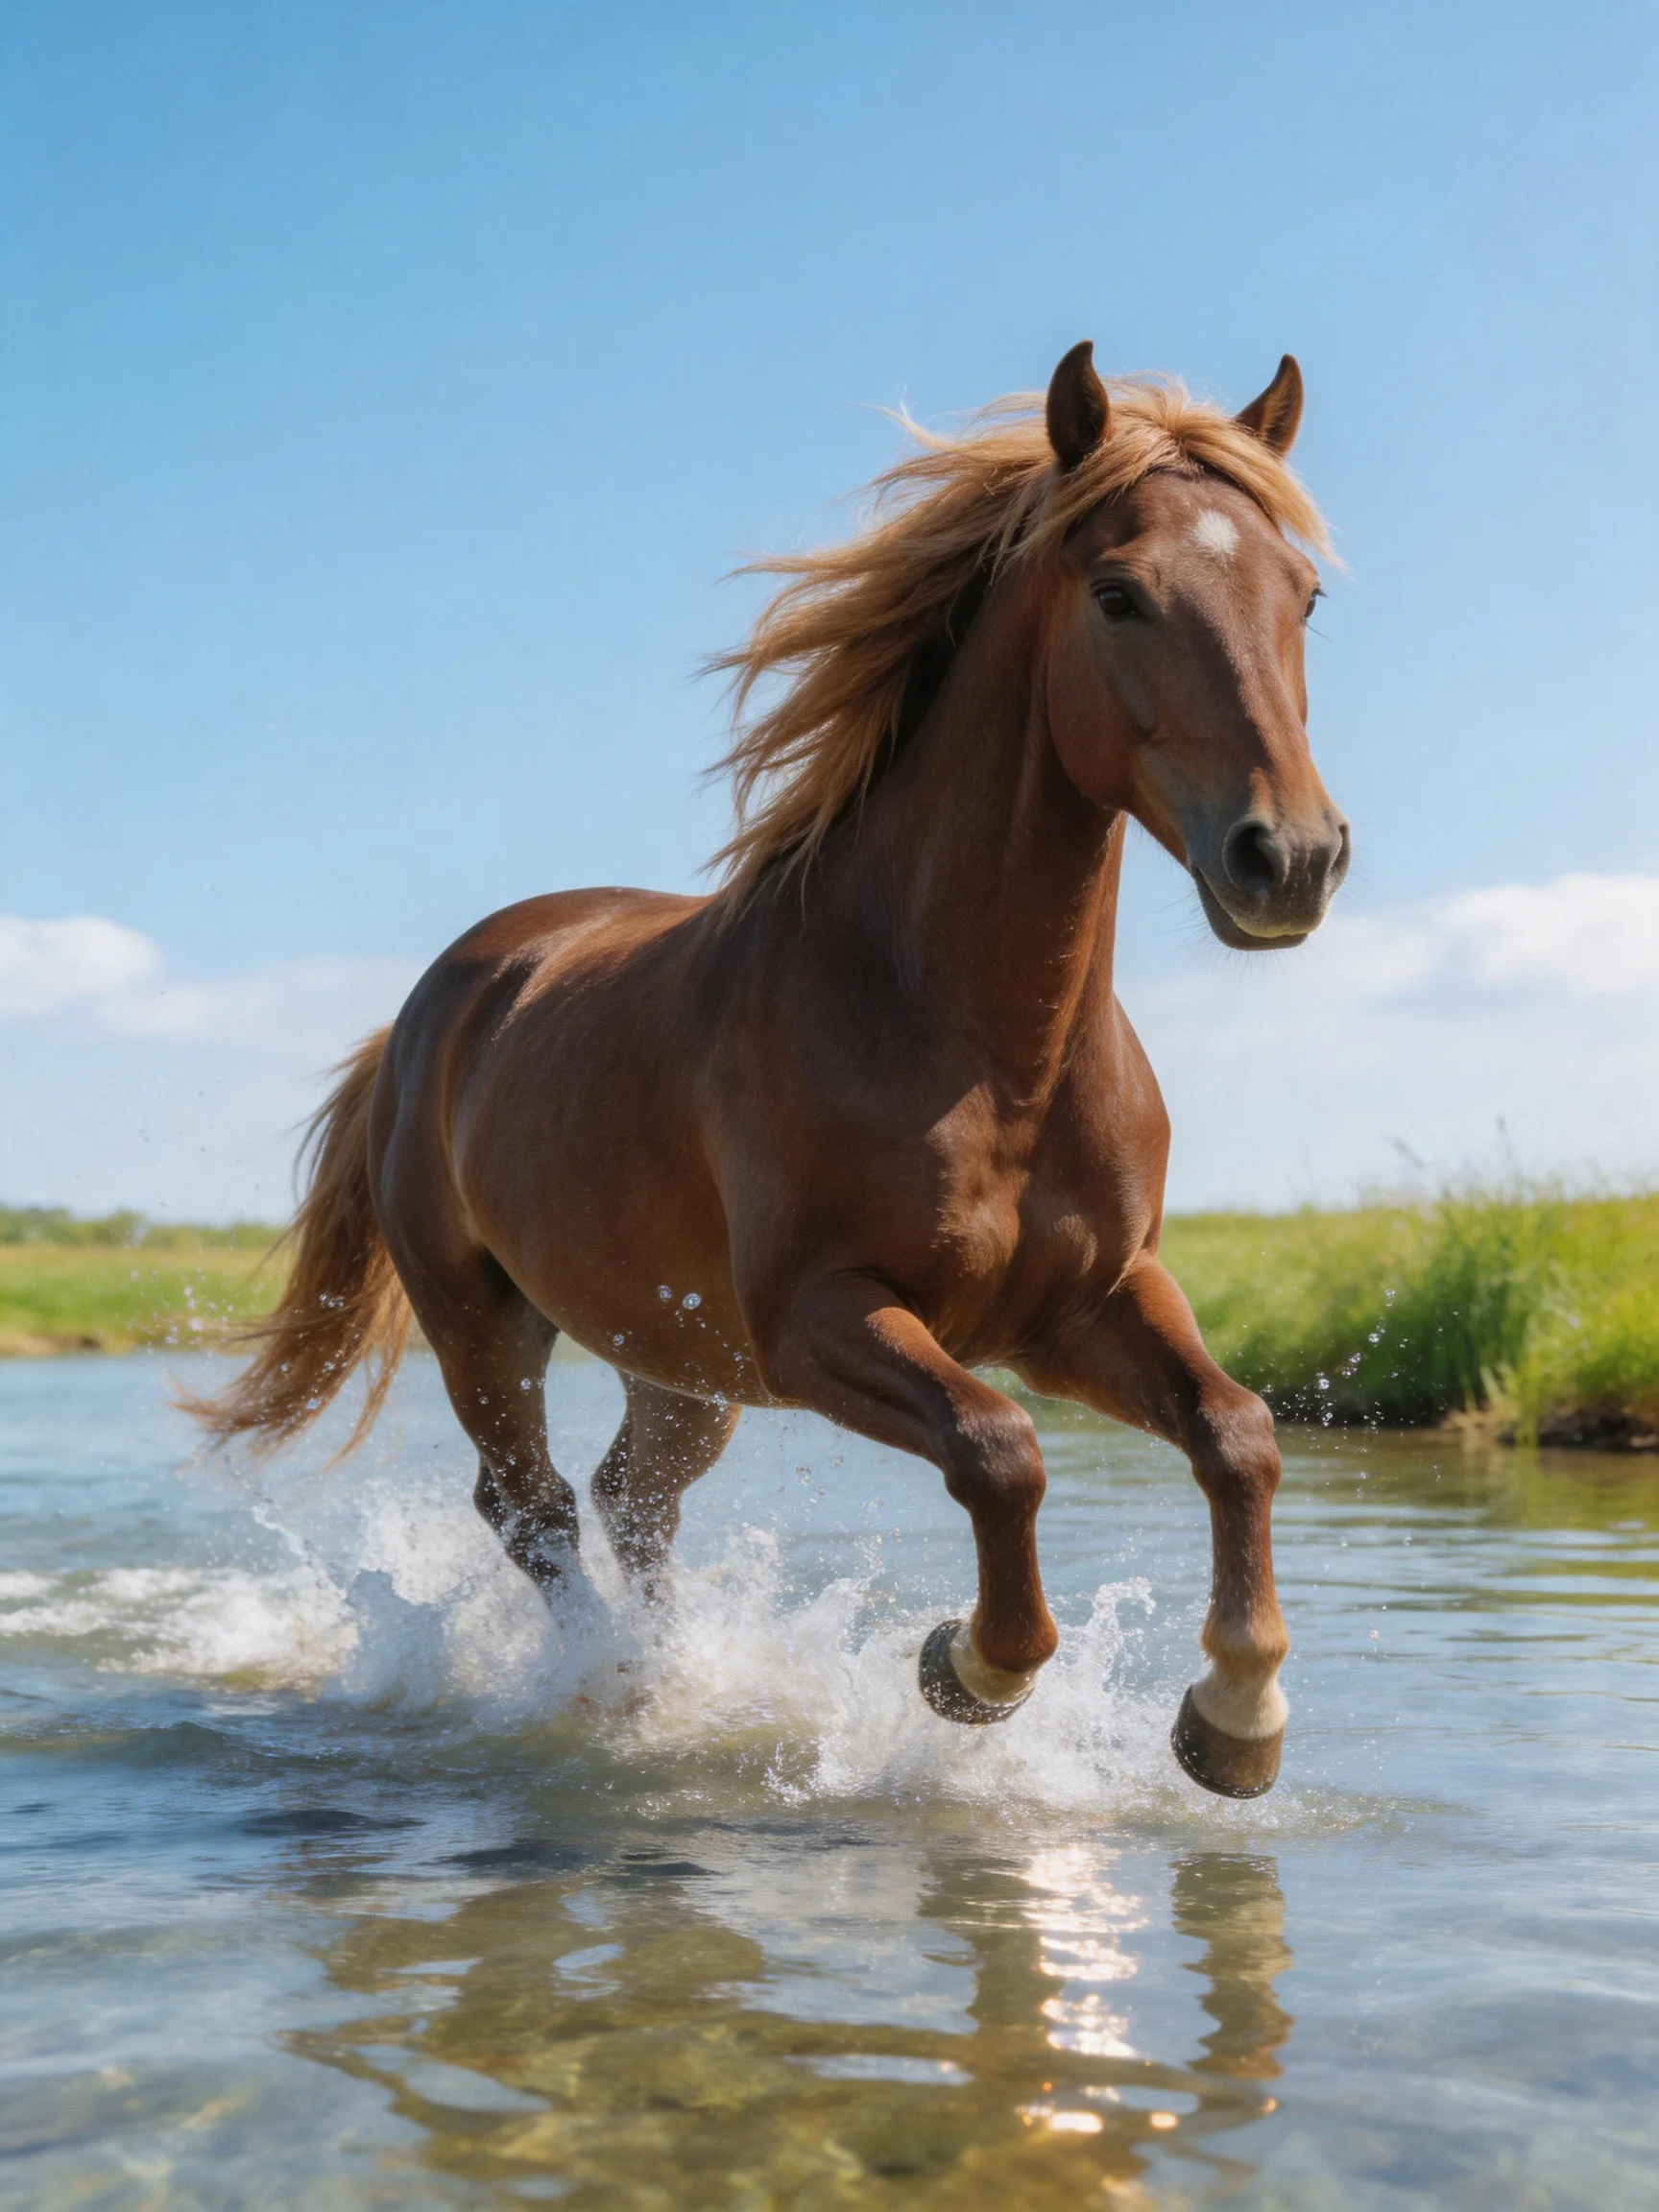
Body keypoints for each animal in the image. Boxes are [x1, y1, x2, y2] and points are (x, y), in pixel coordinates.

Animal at [193, 341, 1348, 1798]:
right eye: (1120, 593)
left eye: (1304, 593)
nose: (1290, 859)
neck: (980, 1048)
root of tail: (428, 1015)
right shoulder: (819, 1320)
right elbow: (1000, 1453)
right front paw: (967, 1669)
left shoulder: (1088, 1302)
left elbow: (1238, 1433)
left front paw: (1236, 1719)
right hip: (484, 1326)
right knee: (536, 1508)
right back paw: (616, 1694)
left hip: (676, 1361)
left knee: (633, 1501)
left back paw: (675, 1683)